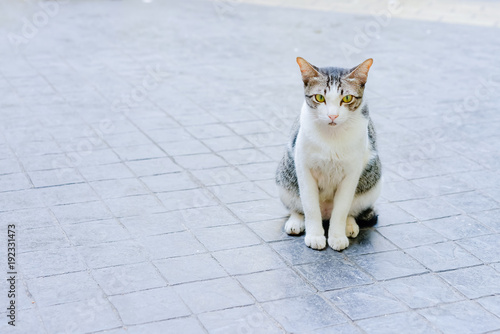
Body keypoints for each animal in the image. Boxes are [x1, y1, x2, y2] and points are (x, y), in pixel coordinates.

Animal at [276, 57, 380, 250]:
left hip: (372, 182)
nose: (332, 116)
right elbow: (310, 207)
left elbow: (341, 209)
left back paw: (349, 225)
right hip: (285, 179)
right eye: (320, 97)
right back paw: (296, 221)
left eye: (347, 98)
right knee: (297, 206)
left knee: (351, 209)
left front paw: (337, 236)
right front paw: (315, 235)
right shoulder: (304, 167)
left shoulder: (351, 173)